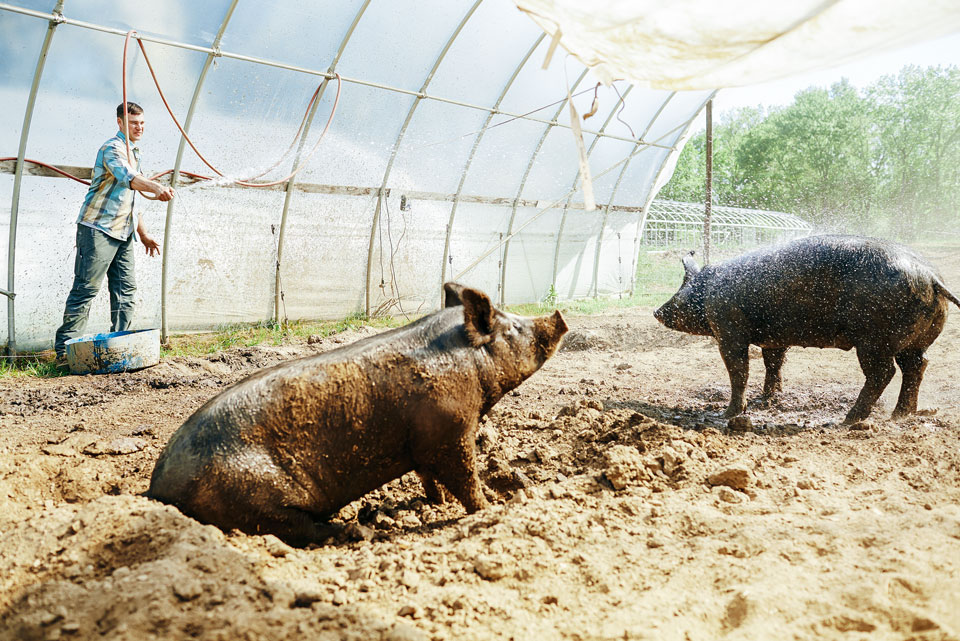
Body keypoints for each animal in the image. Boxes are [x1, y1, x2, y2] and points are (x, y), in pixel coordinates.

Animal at [147, 282, 568, 544]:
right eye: (513, 328)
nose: (559, 315)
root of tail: (157, 489)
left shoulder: (423, 440)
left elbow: (429, 476)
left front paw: (438, 504)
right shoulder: (449, 430)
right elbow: (465, 476)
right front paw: (490, 507)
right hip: (252, 496)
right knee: (301, 529)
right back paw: (362, 532)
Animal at [652, 235, 960, 424]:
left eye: (684, 285)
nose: (657, 311)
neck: (709, 293)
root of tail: (930, 277)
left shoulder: (729, 330)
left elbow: (739, 370)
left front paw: (729, 414)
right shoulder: (774, 338)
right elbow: (773, 364)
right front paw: (767, 399)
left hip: (874, 339)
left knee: (884, 373)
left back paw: (850, 419)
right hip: (915, 341)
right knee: (917, 366)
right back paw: (900, 415)